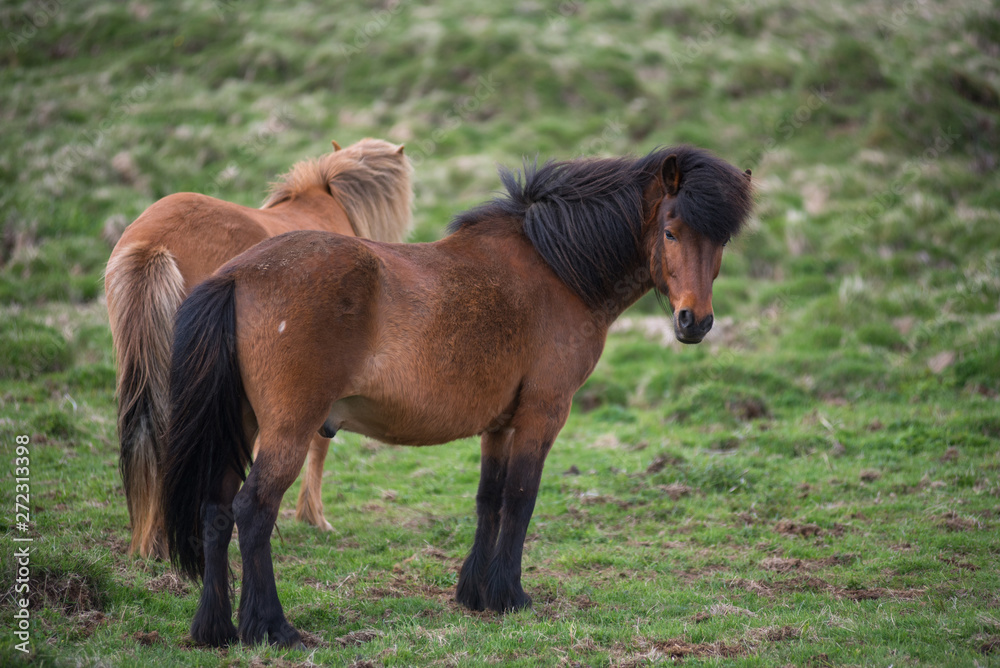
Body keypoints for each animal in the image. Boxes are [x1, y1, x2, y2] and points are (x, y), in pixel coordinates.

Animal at [160, 146, 754, 647]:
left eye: (722, 241)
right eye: (671, 232)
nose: (695, 322)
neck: (555, 268)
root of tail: (238, 275)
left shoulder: (499, 424)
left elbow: (489, 499)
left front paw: (475, 593)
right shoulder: (542, 414)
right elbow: (520, 498)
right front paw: (511, 595)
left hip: (240, 425)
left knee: (216, 510)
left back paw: (214, 628)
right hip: (289, 429)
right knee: (253, 511)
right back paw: (271, 627)